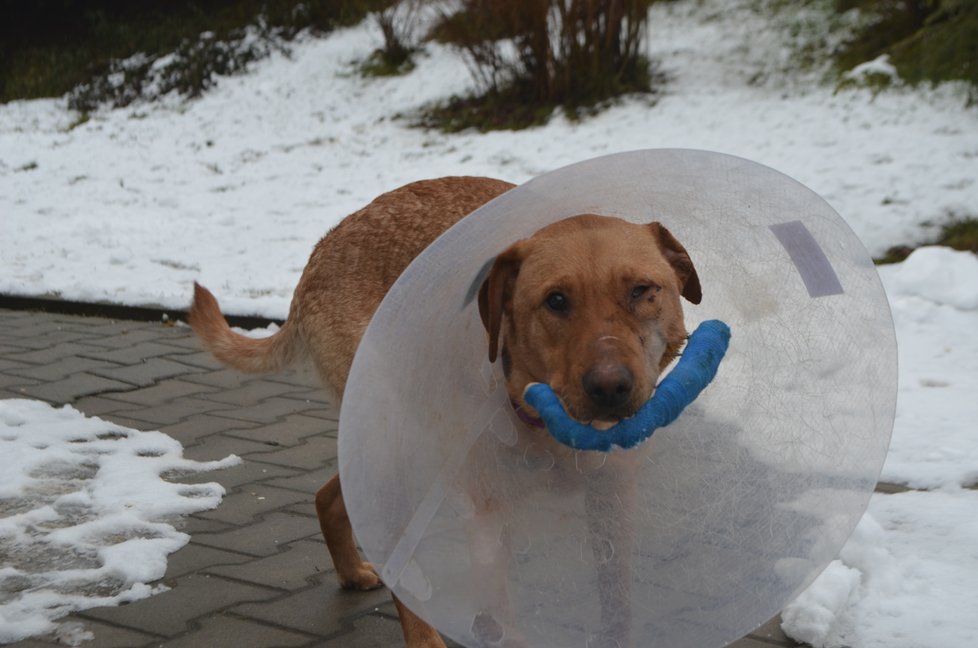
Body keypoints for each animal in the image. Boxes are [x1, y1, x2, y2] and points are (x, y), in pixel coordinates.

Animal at [187, 175, 696, 644]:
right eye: (556, 300)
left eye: (641, 290)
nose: (610, 387)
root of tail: (323, 250)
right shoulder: (488, 515)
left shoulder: (613, 500)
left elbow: (617, 604)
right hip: (392, 450)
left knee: (330, 496)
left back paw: (351, 572)